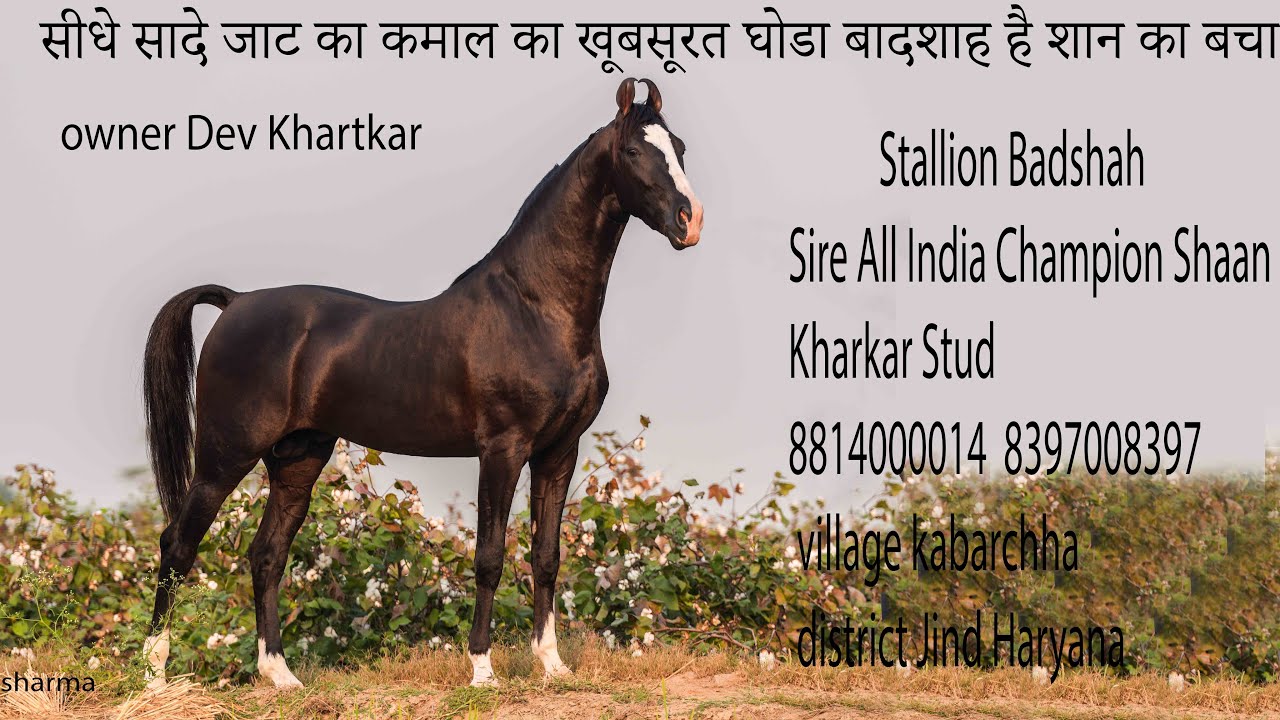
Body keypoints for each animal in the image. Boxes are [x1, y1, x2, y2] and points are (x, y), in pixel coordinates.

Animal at [139, 78, 702, 689]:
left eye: (679, 147)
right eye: (634, 152)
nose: (689, 221)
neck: (535, 307)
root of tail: (236, 302)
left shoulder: (558, 451)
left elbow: (547, 557)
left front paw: (553, 667)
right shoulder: (502, 449)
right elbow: (489, 557)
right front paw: (482, 669)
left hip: (298, 459)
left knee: (266, 556)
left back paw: (280, 676)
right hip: (225, 455)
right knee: (178, 544)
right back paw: (154, 675)